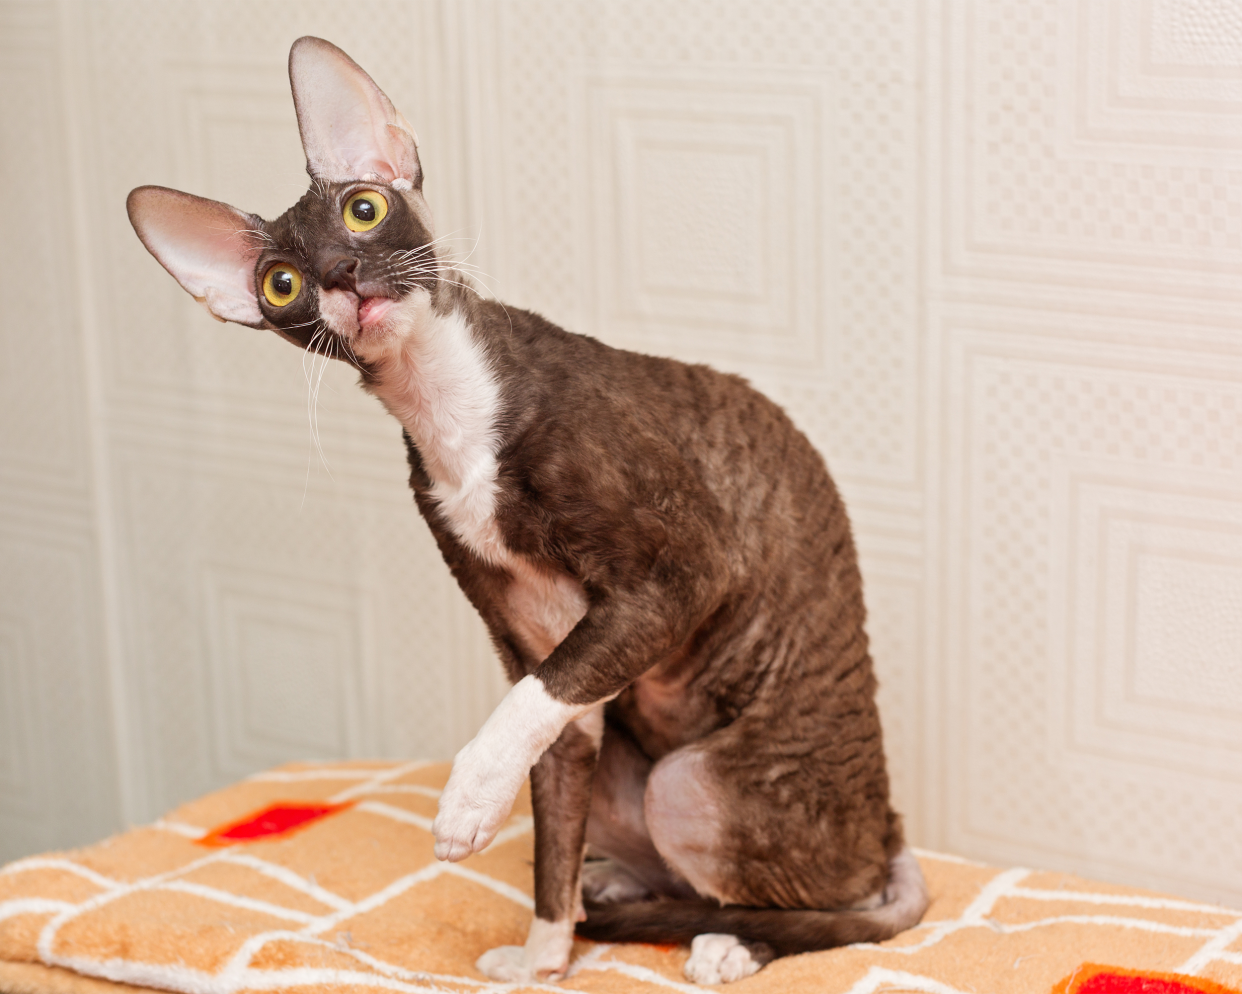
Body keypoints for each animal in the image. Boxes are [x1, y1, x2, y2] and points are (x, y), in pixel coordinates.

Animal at [128, 34, 924, 984]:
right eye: (281, 284)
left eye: (364, 209)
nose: (341, 274)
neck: (448, 411)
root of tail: (889, 823)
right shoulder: (542, 640)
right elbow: (551, 804)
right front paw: (544, 957)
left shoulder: (683, 575)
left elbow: (529, 704)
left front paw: (469, 798)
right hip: (630, 769)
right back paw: (616, 888)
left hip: (691, 785)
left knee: (852, 903)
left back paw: (731, 939)